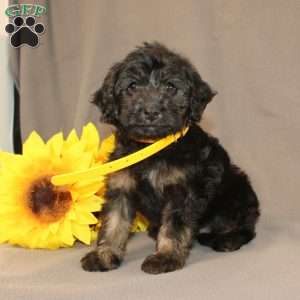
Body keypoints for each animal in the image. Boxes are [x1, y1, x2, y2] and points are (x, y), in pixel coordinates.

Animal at [80, 42, 260, 274]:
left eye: (171, 87)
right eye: (132, 87)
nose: (151, 111)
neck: (151, 147)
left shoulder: (181, 191)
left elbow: (174, 227)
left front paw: (166, 257)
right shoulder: (121, 186)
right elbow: (114, 222)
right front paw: (104, 254)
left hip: (237, 191)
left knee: (245, 226)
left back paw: (228, 239)